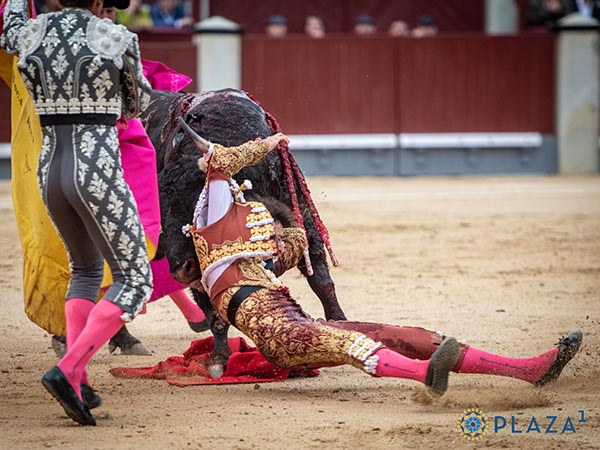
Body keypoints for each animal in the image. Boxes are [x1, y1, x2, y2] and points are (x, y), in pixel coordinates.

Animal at [139, 89, 346, 374]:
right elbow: (214, 311)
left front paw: (339, 322)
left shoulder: (302, 214)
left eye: (198, 202)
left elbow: (321, 280)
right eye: (161, 216)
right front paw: (219, 359)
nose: (182, 270)